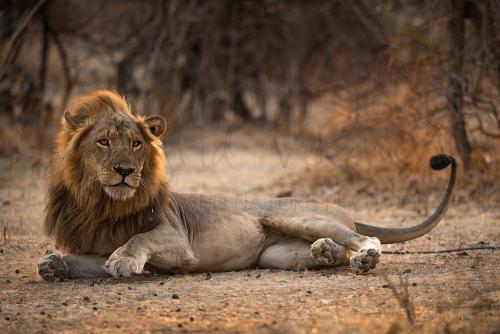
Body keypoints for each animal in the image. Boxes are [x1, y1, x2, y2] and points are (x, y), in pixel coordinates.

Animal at [37, 90, 456, 280]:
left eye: (136, 143)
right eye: (103, 142)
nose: (124, 170)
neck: (104, 203)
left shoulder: (177, 239)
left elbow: (138, 240)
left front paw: (124, 260)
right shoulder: (99, 243)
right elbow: (85, 260)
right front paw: (54, 264)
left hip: (299, 218)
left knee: (369, 239)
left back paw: (363, 258)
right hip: (276, 255)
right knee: (330, 251)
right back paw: (326, 252)